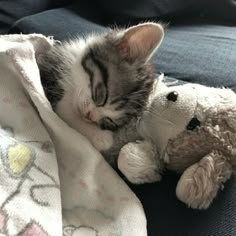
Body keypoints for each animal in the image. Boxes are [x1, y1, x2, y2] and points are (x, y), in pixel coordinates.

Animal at [37, 22, 164, 161]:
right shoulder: (53, 85)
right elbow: (67, 114)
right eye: (100, 96)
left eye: (109, 121)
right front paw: (101, 138)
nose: (89, 116)